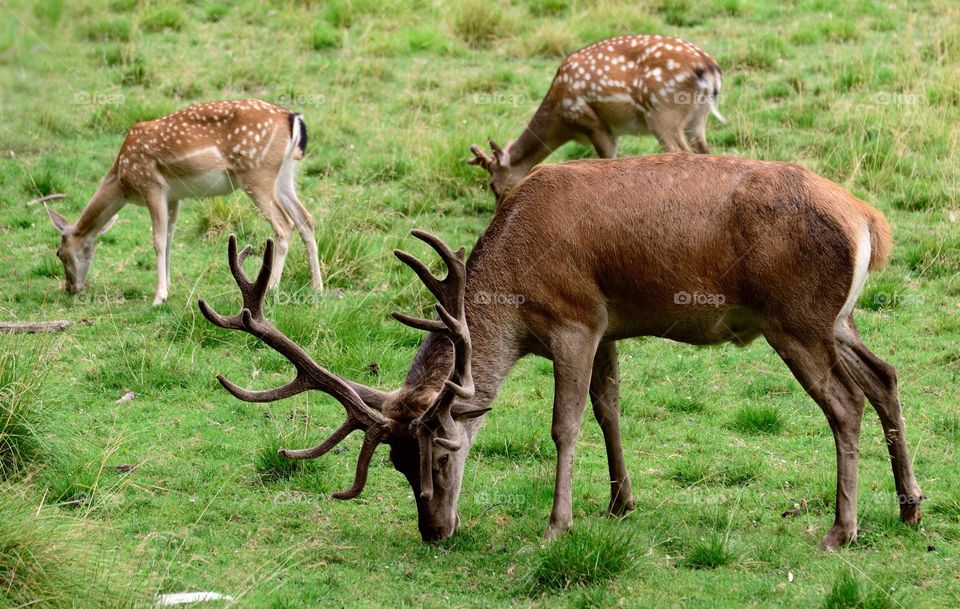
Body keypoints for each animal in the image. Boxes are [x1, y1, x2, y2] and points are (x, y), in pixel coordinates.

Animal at [45, 99, 323, 305]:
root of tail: (293, 118)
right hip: (284, 175)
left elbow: (157, 240)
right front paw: (168, 288)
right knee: (306, 219)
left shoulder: (152, 187)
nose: (70, 288)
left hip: (256, 174)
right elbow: (169, 239)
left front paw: (159, 297)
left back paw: (272, 289)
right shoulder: (174, 196)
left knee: (284, 223)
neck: (122, 179)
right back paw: (317, 288)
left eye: (59, 253)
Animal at [199, 153, 923, 551]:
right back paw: (910, 506)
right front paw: (620, 502)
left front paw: (557, 524)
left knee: (845, 402)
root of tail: (869, 221)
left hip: (794, 318)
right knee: (886, 376)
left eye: (443, 453)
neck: (515, 288)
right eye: (397, 465)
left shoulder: (575, 319)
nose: (435, 530)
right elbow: (609, 408)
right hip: (837, 318)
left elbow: (566, 424)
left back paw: (841, 530)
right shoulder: (608, 325)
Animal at [469, 34, 725, 201]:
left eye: (493, 186)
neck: (562, 121)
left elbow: (607, 161)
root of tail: (710, 69)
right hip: (696, 118)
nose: (501, 209)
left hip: (663, 113)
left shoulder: (593, 123)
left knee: (682, 152)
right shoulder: (613, 131)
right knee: (705, 151)